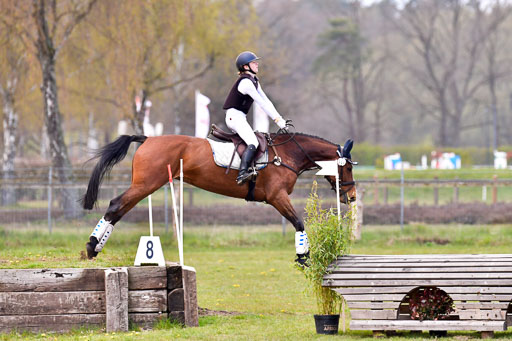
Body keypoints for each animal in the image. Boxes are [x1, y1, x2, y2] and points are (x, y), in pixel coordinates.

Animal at [83, 131, 356, 262]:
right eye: (349, 168)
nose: (351, 197)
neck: (287, 153)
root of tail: (148, 138)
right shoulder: (277, 197)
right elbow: (299, 223)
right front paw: (303, 255)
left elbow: (298, 223)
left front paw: (303, 254)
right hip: (146, 184)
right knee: (116, 205)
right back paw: (92, 245)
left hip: (146, 185)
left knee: (118, 210)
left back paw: (95, 247)